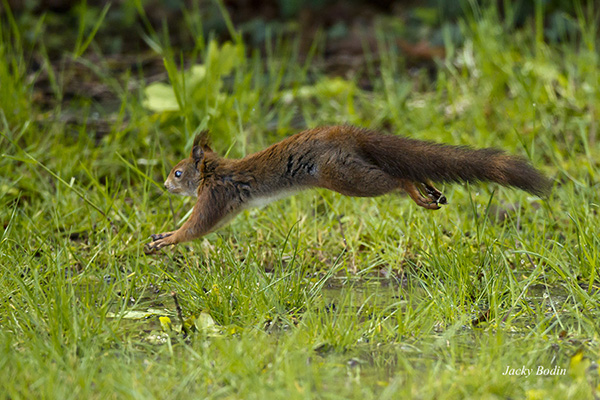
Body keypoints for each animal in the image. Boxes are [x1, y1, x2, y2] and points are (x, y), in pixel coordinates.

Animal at [144, 125, 548, 252]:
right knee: (403, 173)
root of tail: (349, 134)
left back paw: (415, 189)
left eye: (178, 173)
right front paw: (164, 235)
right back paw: (428, 189)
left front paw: (166, 240)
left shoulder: (217, 195)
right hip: (351, 172)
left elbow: (197, 227)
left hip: (344, 177)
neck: (213, 171)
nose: (163, 185)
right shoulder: (227, 203)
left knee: (394, 178)